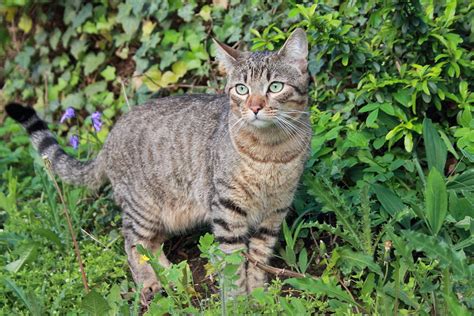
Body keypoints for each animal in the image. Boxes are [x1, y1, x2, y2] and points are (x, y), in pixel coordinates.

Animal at [5, 27, 312, 302]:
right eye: (241, 89)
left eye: (275, 87)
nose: (255, 107)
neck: (270, 151)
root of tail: (109, 137)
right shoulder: (227, 209)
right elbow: (232, 261)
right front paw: (238, 303)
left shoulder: (274, 212)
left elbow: (258, 259)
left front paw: (259, 297)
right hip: (143, 208)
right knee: (132, 242)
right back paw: (150, 283)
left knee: (151, 245)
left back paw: (171, 276)